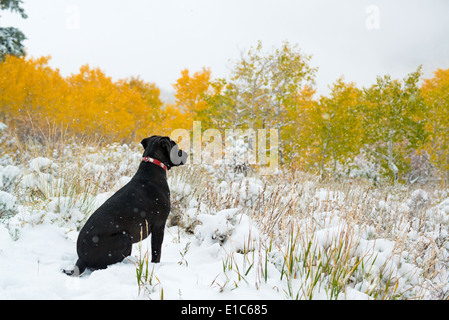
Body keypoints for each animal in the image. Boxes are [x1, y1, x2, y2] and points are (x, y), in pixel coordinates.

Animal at [63, 135, 187, 276]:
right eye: (174, 144)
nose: (187, 154)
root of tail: (81, 260)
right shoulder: (159, 226)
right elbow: (156, 252)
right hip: (124, 239)